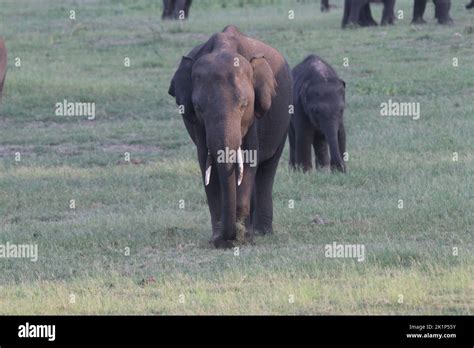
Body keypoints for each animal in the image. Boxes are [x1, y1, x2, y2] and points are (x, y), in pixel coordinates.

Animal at [167, 25, 292, 247]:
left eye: (244, 105)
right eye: (198, 108)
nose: (228, 238)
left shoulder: (255, 115)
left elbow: (250, 157)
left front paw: (242, 237)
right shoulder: (198, 124)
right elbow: (205, 162)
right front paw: (219, 239)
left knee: (267, 170)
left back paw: (261, 232)